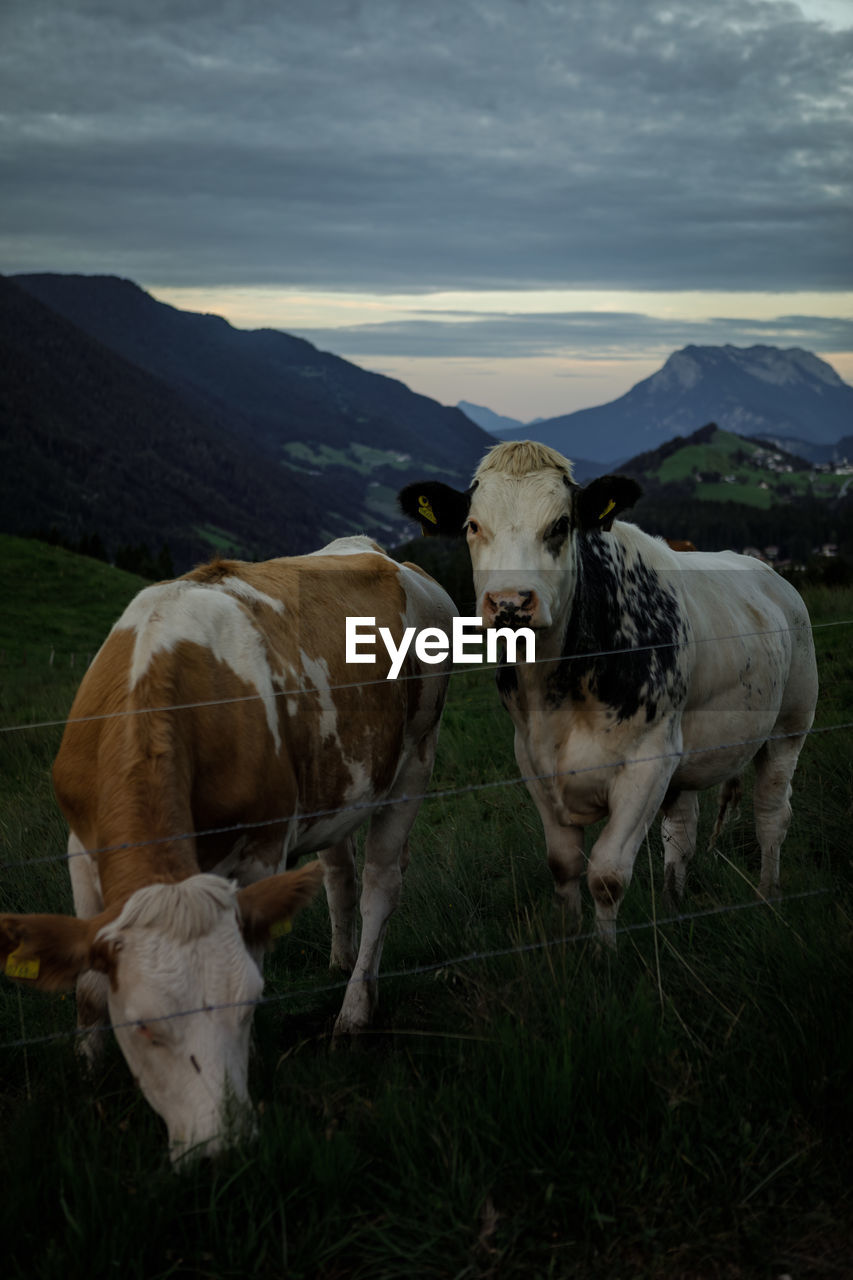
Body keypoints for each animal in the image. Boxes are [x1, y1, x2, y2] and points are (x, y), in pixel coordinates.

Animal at [1, 537, 458, 1162]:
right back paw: (343, 962)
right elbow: (90, 986)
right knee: (338, 870)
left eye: (246, 1006)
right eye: (142, 1024)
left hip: (415, 758)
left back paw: (355, 1011)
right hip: (335, 781)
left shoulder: (262, 849)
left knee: (380, 886)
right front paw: (88, 1071)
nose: (223, 1144)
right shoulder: (80, 847)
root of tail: (382, 554)